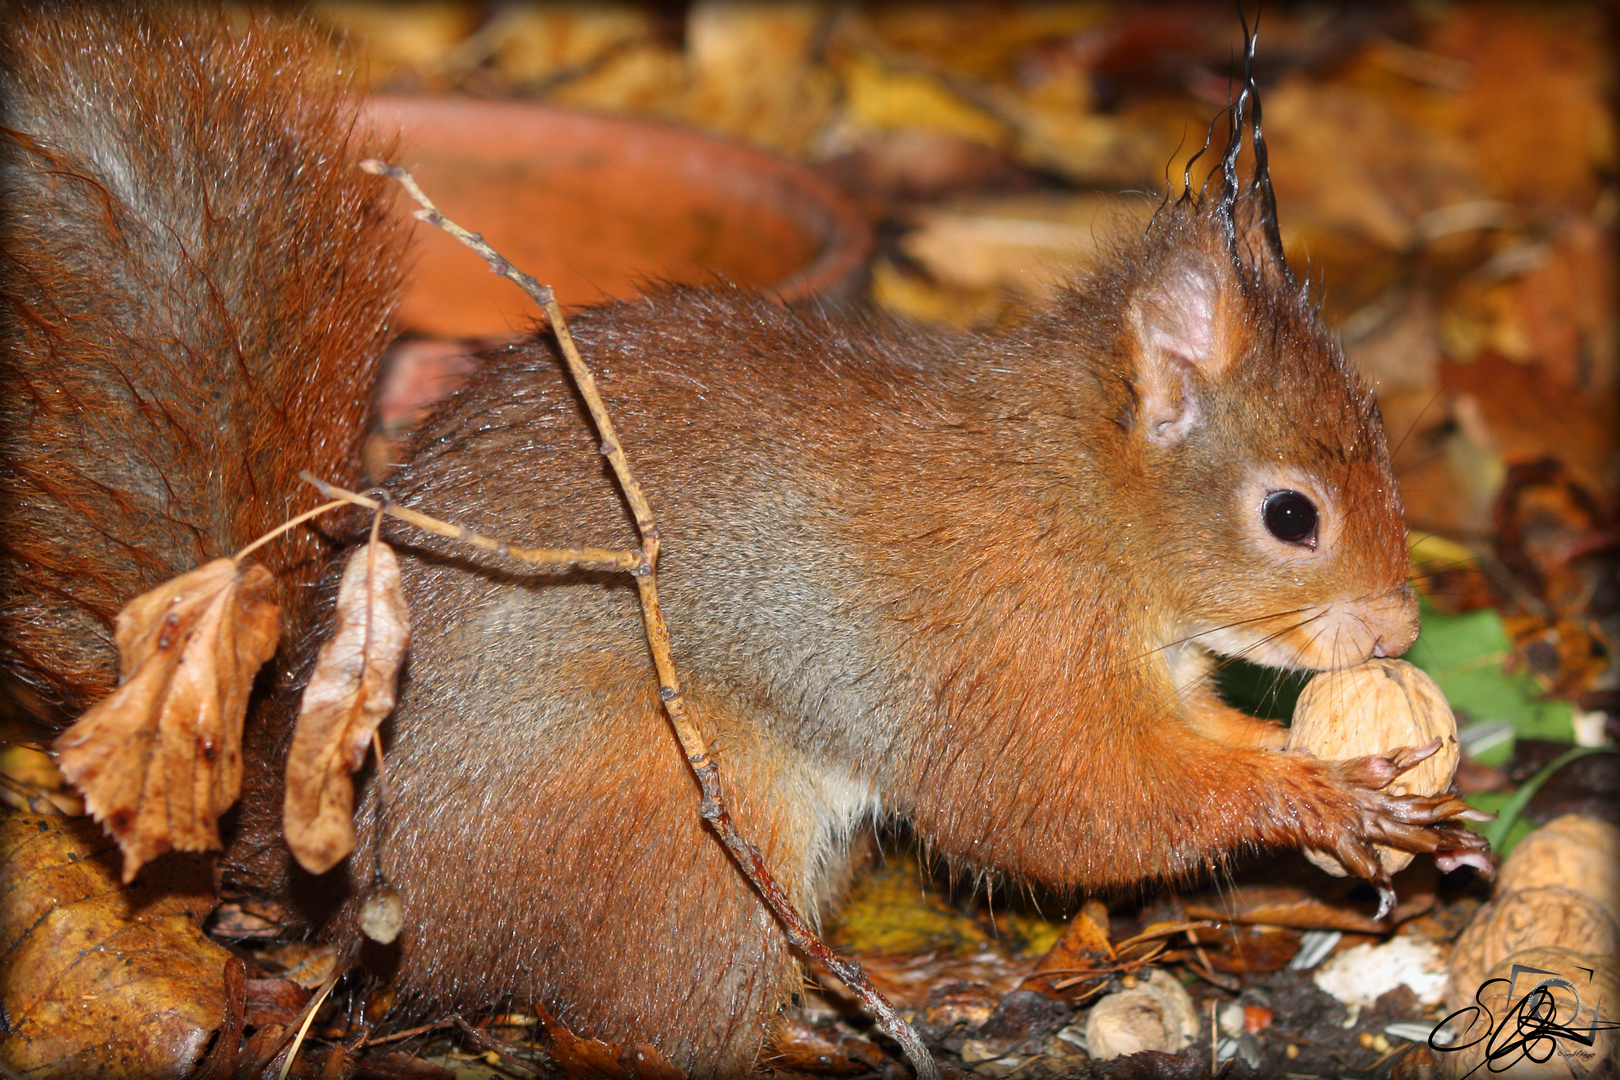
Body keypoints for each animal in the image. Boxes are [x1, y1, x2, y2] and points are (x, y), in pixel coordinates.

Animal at [3, 4, 1490, 1075]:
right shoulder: (1002, 631)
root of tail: (319, 855)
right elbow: (1067, 801)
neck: (1081, 501)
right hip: (678, 825)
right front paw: (1331, 800)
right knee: (664, 1026)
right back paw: (852, 1011)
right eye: (1291, 516)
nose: (1404, 629)